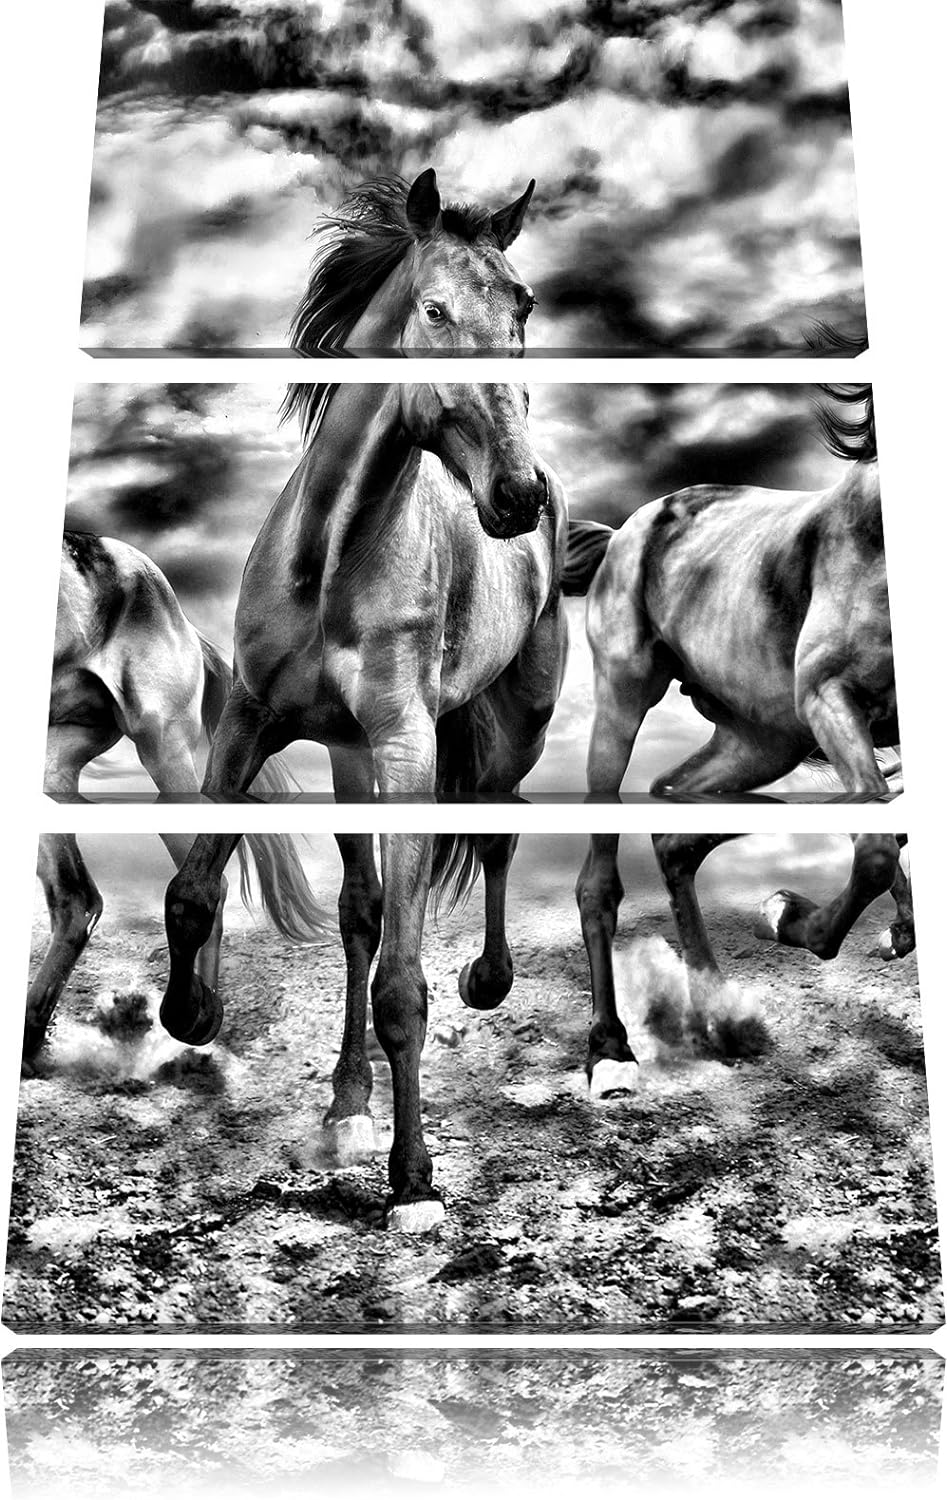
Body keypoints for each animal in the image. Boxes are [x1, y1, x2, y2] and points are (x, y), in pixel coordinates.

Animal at [159, 379, 569, 1231]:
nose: (519, 495)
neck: (331, 559)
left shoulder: (405, 747)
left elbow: (402, 987)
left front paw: (413, 1180)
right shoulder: (252, 719)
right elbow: (193, 890)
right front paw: (193, 1015)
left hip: (523, 719)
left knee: (497, 829)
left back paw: (488, 979)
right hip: (349, 759)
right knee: (361, 908)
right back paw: (348, 1103)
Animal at [575, 833, 914, 1097]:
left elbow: (882, 853)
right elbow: (877, 859)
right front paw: (786, 916)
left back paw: (716, 1014)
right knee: (598, 884)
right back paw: (613, 1050)